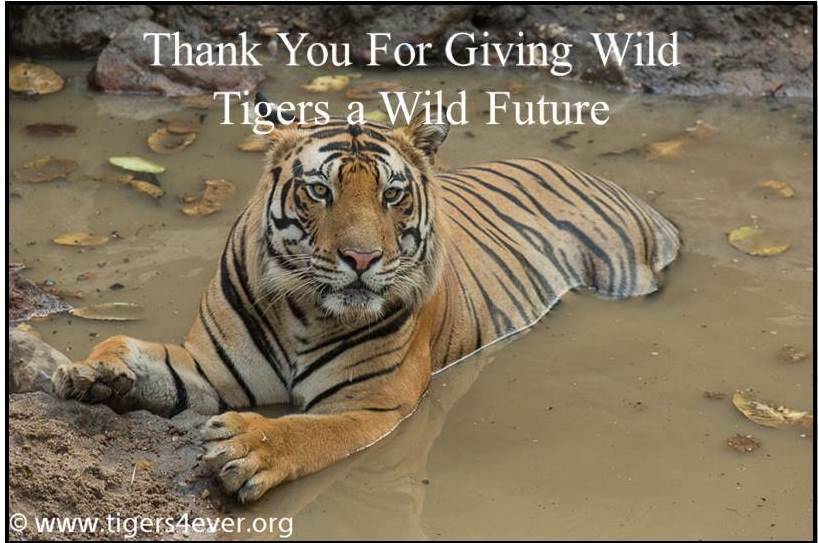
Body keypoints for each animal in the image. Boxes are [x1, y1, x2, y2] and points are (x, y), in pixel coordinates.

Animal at [53, 98, 681, 503]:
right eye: (319, 190)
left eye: (393, 195)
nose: (361, 258)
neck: (303, 311)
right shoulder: (209, 369)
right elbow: (129, 349)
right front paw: (93, 374)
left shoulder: (376, 405)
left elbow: (307, 432)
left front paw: (245, 446)